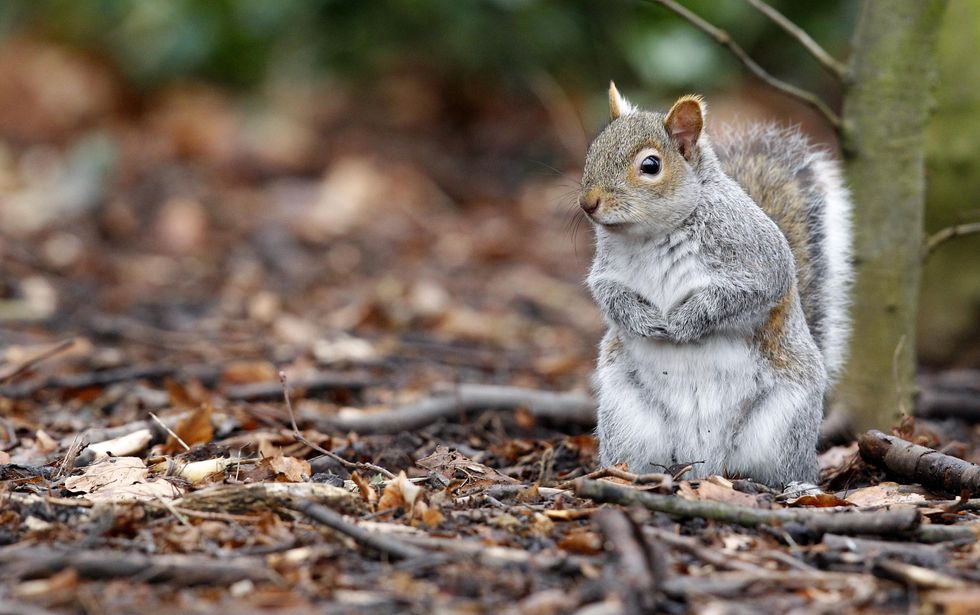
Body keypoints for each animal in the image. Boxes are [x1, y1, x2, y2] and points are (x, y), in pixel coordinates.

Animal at [580, 84, 848, 486]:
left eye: (650, 166)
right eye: (593, 149)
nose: (587, 203)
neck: (652, 235)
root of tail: (706, 464)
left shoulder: (760, 259)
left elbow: (743, 293)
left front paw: (685, 321)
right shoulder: (607, 271)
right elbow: (609, 295)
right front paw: (643, 320)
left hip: (784, 423)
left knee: (783, 467)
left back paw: (793, 486)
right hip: (627, 416)